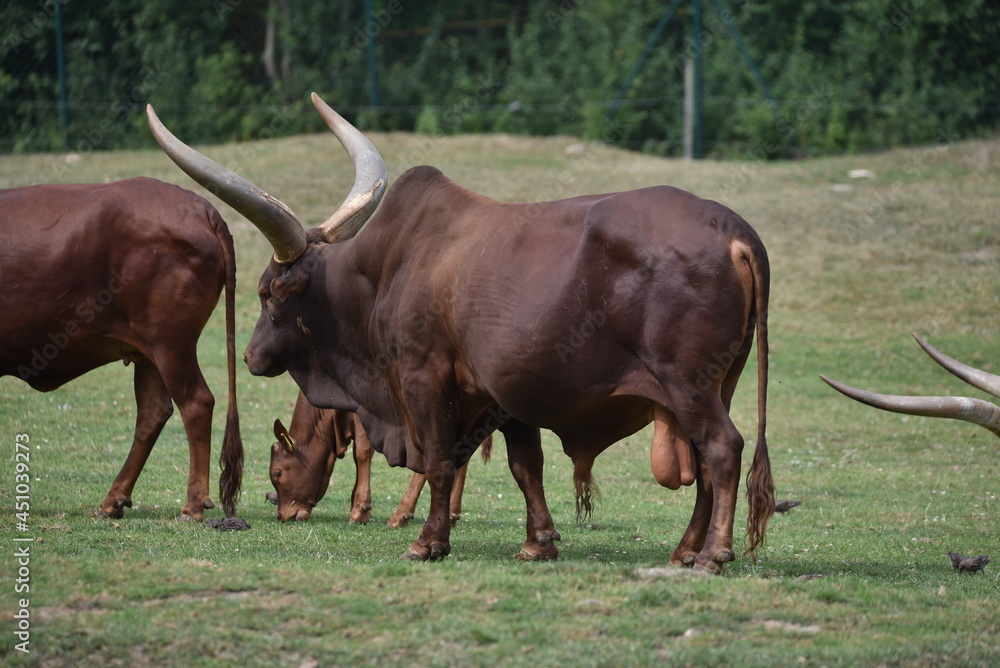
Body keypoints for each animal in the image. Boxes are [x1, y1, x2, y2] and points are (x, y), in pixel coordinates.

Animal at [0, 178, 243, 520]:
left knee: (196, 402)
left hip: (170, 344)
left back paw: (193, 504)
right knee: (154, 411)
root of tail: (200, 206)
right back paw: (113, 500)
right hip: (149, 353)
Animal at [266, 390, 491, 525]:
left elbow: (363, 452)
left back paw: (401, 514)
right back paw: (451, 512)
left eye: (278, 473)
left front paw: (360, 509)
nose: (281, 515)